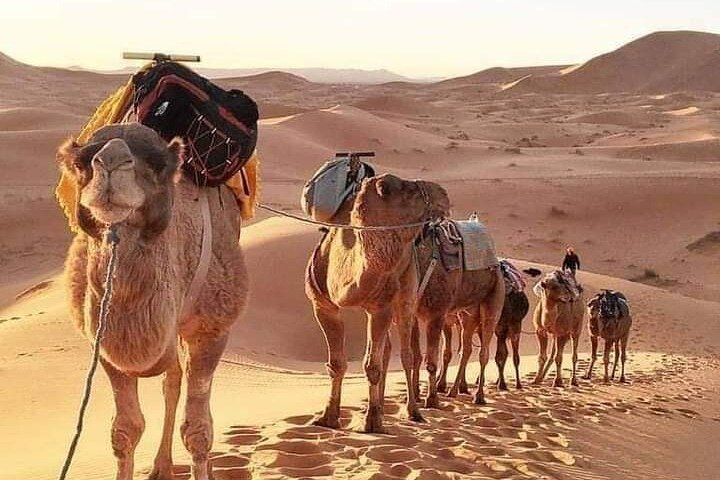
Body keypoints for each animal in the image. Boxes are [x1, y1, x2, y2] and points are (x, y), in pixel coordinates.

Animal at [58, 123, 248, 480]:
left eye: (159, 164)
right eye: (80, 164)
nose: (111, 161)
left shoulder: (212, 331)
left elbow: (198, 430)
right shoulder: (105, 345)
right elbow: (125, 429)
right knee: (171, 380)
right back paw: (161, 466)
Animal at [306, 174, 449, 433]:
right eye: (401, 188)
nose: (442, 193)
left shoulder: (380, 307)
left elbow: (372, 365)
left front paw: (372, 422)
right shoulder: (323, 305)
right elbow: (337, 363)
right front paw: (327, 417)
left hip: (407, 296)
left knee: (407, 355)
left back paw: (412, 411)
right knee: (388, 351)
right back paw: (382, 405)